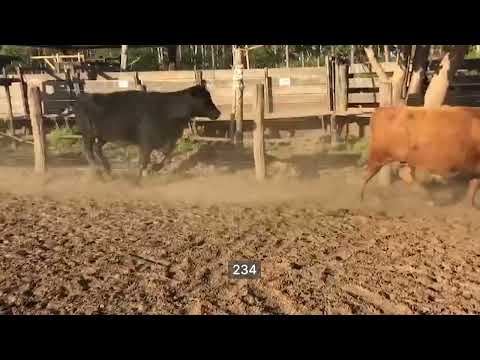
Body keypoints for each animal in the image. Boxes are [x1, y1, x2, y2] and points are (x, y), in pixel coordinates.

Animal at [75, 83, 221, 181]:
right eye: (204, 99)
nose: (218, 113)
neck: (167, 109)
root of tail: (84, 97)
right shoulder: (146, 142)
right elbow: (144, 160)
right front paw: (138, 179)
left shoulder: (168, 139)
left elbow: (167, 154)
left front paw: (154, 168)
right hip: (88, 135)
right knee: (88, 151)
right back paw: (98, 172)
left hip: (103, 136)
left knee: (97, 148)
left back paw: (108, 170)